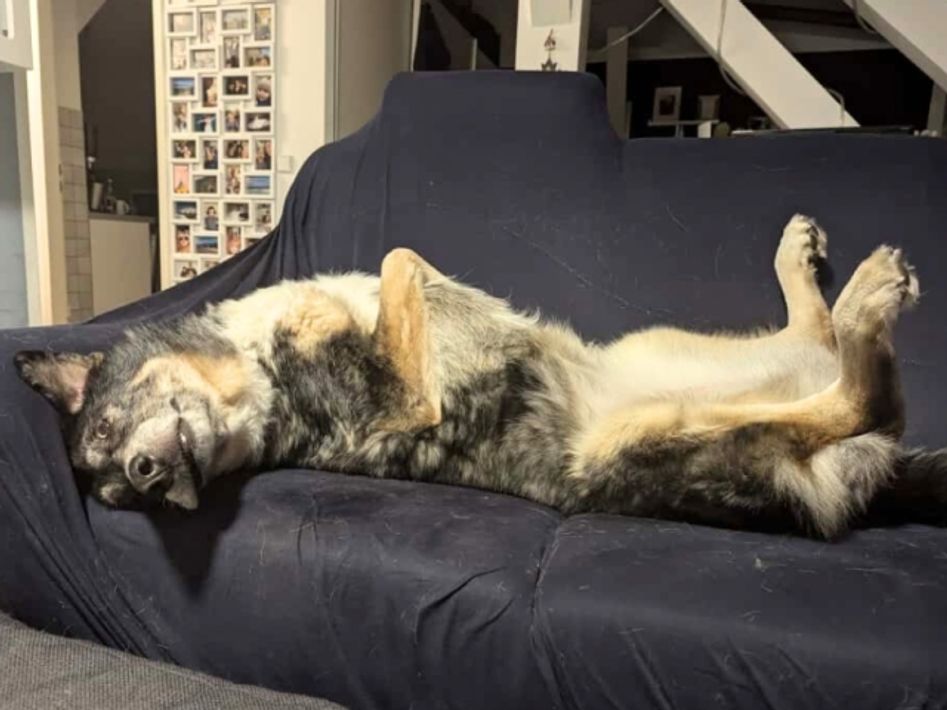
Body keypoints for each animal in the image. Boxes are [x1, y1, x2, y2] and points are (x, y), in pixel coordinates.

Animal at [15, 215, 947, 538]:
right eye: (112, 492)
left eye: (106, 435)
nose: (145, 479)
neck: (264, 383)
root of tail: (883, 482)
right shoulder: (399, 398)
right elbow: (394, 267)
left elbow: (397, 261)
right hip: (641, 440)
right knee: (862, 396)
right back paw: (869, 297)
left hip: (656, 346)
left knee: (817, 346)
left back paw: (811, 267)